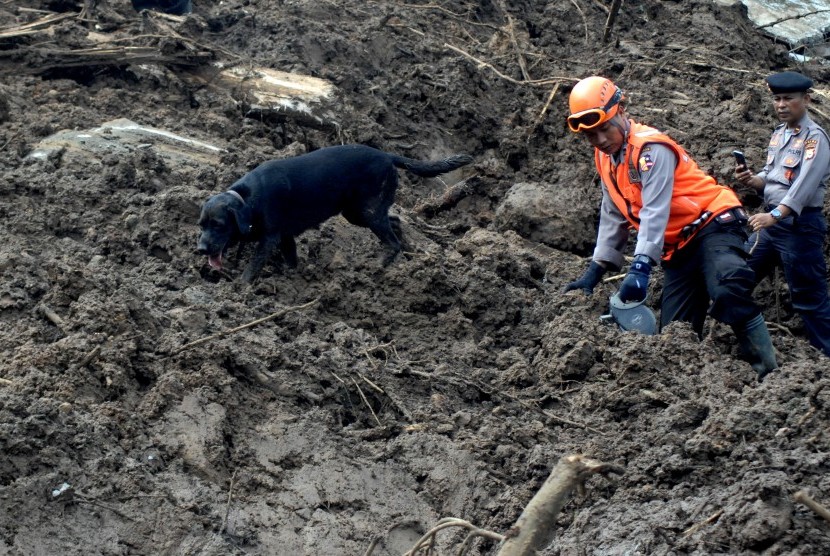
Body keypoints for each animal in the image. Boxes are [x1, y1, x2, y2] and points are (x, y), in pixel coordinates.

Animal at [198, 144, 474, 282]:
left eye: (219, 224)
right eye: (201, 225)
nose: (200, 249)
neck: (247, 199)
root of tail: (387, 154)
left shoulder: (270, 238)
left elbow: (253, 266)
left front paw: (240, 288)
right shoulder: (285, 237)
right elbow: (291, 260)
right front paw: (291, 279)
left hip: (366, 212)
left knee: (391, 240)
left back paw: (377, 268)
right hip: (358, 212)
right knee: (395, 222)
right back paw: (403, 252)